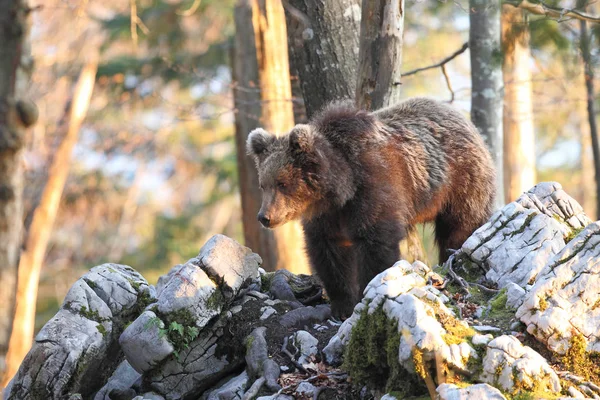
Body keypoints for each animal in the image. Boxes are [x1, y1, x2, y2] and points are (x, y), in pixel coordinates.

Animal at [246, 97, 494, 318]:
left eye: (282, 183)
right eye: (263, 184)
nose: (264, 217)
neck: (340, 189)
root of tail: (464, 119)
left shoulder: (373, 191)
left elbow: (375, 245)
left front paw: (364, 293)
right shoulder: (327, 218)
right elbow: (330, 255)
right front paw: (342, 306)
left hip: (459, 182)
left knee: (461, 226)